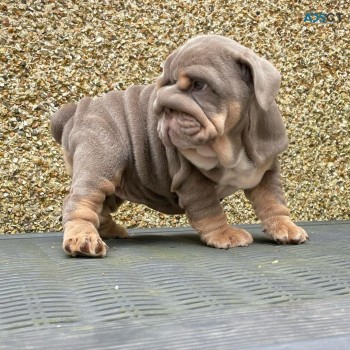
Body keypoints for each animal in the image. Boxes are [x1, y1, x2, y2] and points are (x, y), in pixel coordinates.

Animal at [50, 34, 308, 258]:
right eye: (164, 84)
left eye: (199, 85)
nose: (163, 103)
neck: (232, 142)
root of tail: (77, 110)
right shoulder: (192, 180)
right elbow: (209, 210)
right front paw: (225, 234)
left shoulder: (266, 171)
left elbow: (273, 201)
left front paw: (285, 226)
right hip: (102, 162)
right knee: (81, 202)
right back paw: (84, 239)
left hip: (120, 180)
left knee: (101, 208)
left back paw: (110, 231)